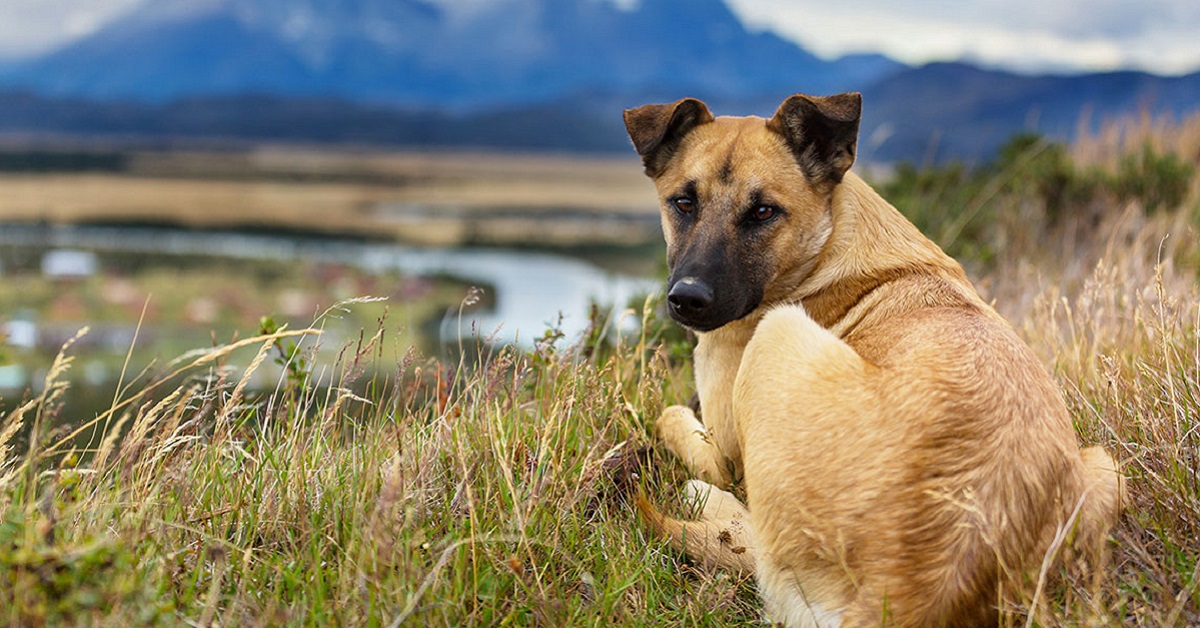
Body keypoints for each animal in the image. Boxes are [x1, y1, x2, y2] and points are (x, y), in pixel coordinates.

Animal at [624, 94, 1118, 628]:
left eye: (763, 212)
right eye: (683, 203)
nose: (687, 300)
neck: (827, 245)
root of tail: (905, 596)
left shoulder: (724, 452)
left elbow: (671, 416)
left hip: (778, 333)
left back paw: (703, 499)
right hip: (1105, 468)